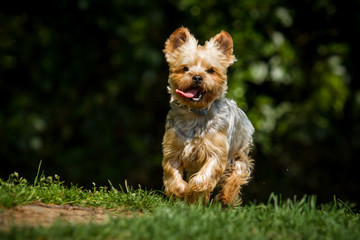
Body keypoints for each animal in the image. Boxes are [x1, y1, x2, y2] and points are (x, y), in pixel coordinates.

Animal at [162, 26, 255, 206]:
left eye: (211, 70)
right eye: (185, 68)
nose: (197, 77)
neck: (195, 113)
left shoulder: (216, 152)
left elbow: (204, 177)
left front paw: (194, 191)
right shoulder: (173, 149)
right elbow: (173, 176)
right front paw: (183, 192)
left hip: (239, 153)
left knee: (237, 174)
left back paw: (225, 197)